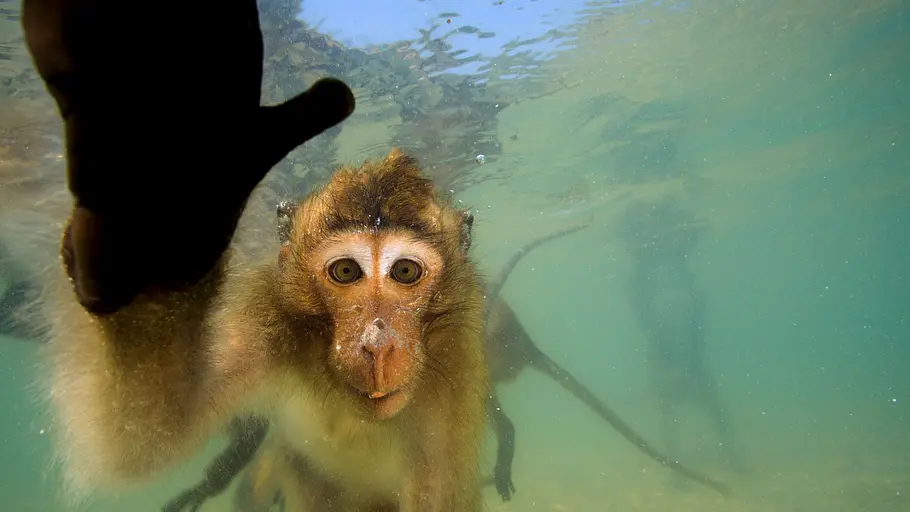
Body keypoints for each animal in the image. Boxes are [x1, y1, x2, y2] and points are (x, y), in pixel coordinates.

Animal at [38, 148, 490, 511]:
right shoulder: (266, 313)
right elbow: (144, 443)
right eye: (346, 271)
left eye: (405, 272)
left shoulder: (453, 378)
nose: (377, 347)